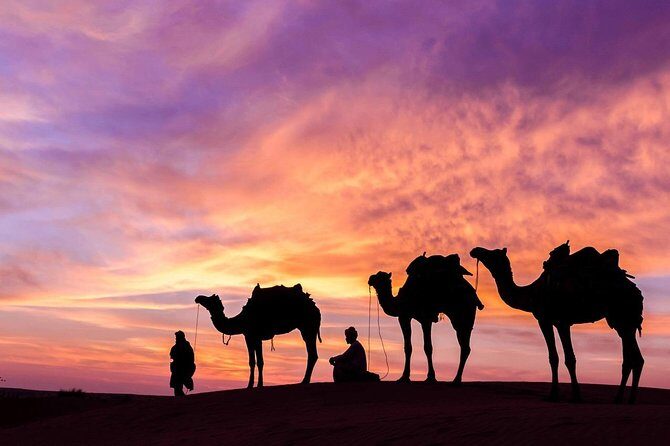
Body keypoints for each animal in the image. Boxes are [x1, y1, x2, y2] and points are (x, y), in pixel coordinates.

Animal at [367, 253, 483, 383]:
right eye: (376, 275)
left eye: (381, 277)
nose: (370, 278)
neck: (403, 300)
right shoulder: (405, 316)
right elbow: (408, 347)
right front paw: (404, 377)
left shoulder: (425, 318)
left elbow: (428, 347)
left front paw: (430, 377)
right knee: (465, 347)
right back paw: (456, 378)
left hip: (463, 316)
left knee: (465, 346)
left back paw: (456, 379)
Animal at [470, 243, 644, 403]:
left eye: (493, 253)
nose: (475, 250)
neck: (531, 294)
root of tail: (636, 292)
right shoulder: (552, 321)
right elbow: (555, 358)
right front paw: (556, 394)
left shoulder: (555, 321)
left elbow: (566, 358)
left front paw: (571, 395)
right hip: (622, 322)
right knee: (634, 358)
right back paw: (625, 398)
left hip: (623, 318)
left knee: (633, 358)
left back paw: (624, 398)